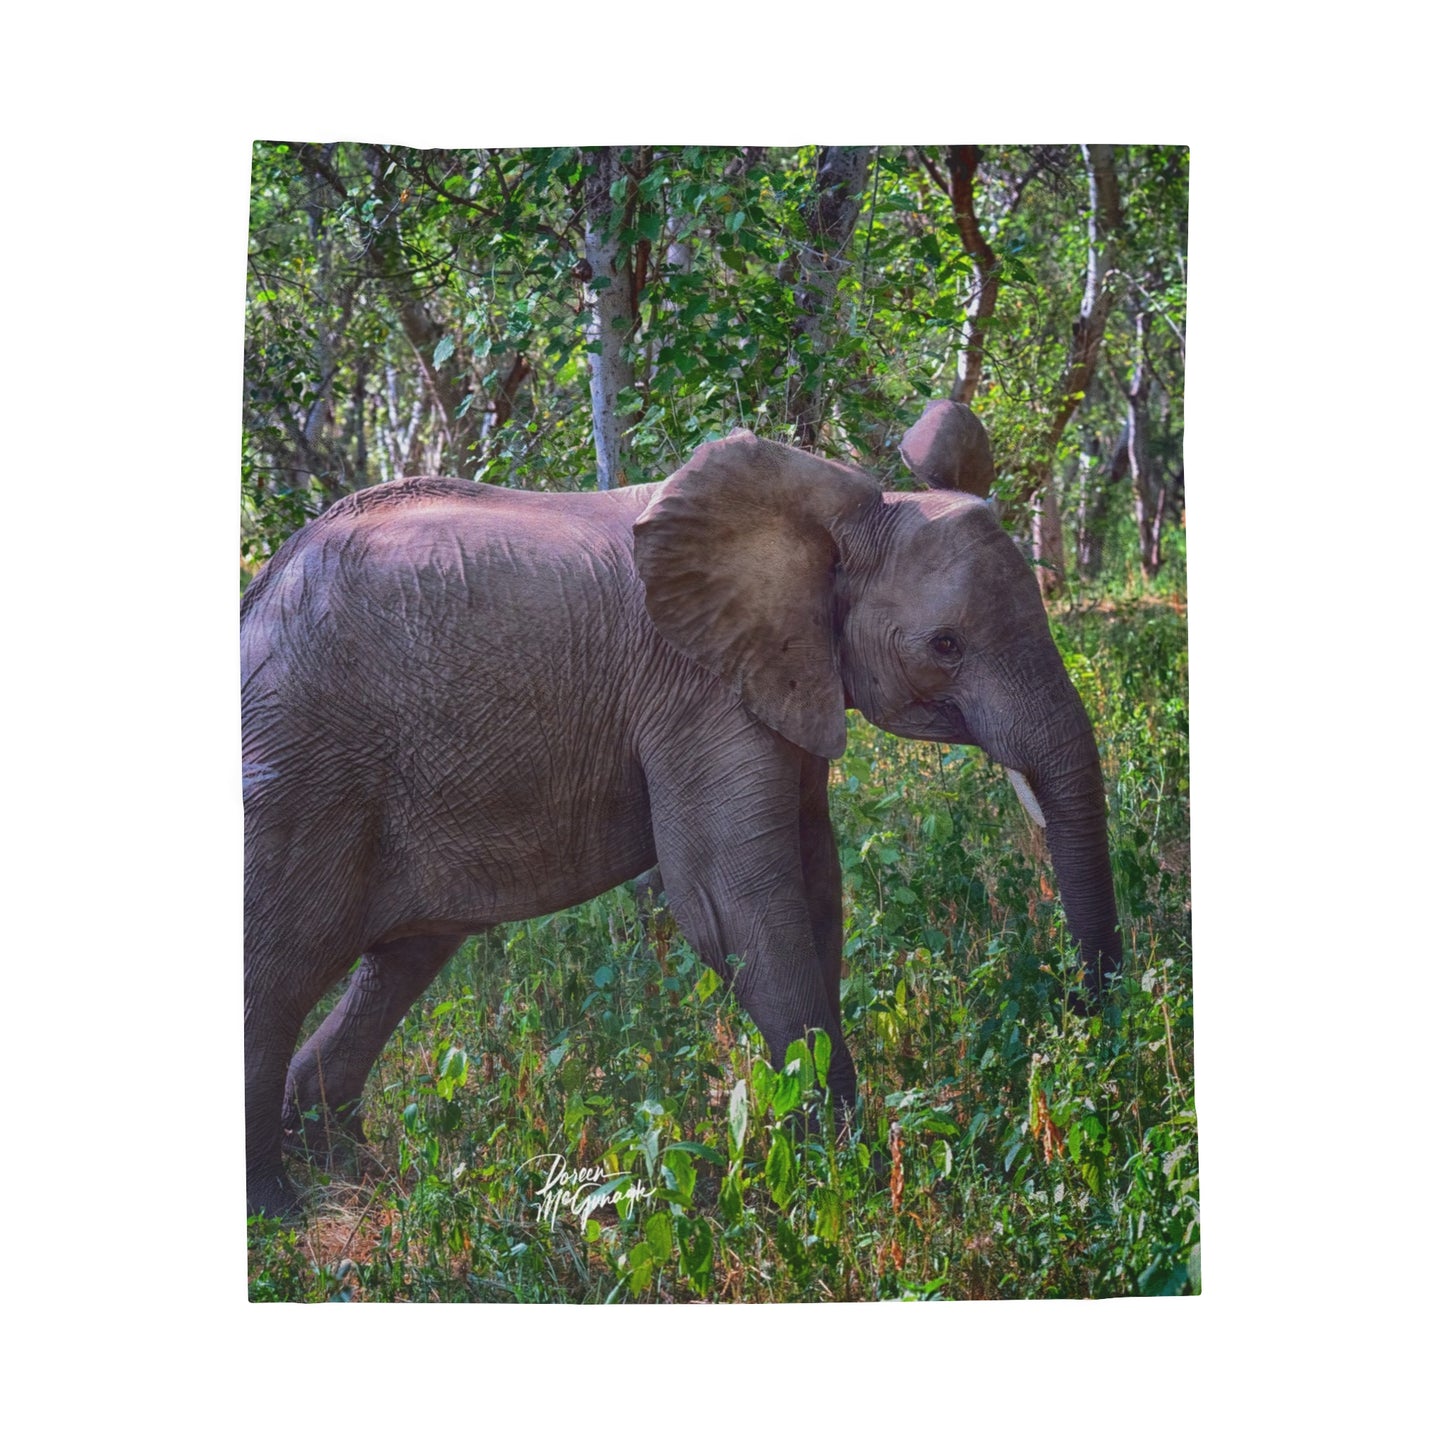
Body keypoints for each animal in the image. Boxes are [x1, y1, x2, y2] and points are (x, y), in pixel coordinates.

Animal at [241, 399, 1122, 1217]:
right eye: (944, 645)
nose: (1084, 1021)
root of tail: (262, 588)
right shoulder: (697, 690)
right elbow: (731, 902)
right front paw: (846, 1178)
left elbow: (815, 886)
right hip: (303, 761)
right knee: (275, 968)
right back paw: (279, 1212)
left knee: (404, 956)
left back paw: (347, 1171)